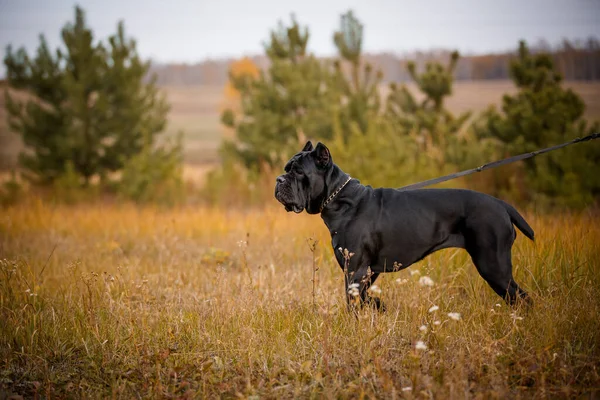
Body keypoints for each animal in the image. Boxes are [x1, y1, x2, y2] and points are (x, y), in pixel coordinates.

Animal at [274, 141, 532, 310]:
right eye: (286, 168)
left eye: (298, 171)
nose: (279, 179)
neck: (340, 199)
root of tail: (501, 204)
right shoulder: (368, 271)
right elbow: (365, 298)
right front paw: (379, 306)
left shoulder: (355, 270)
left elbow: (354, 302)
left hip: (493, 266)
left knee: (522, 299)